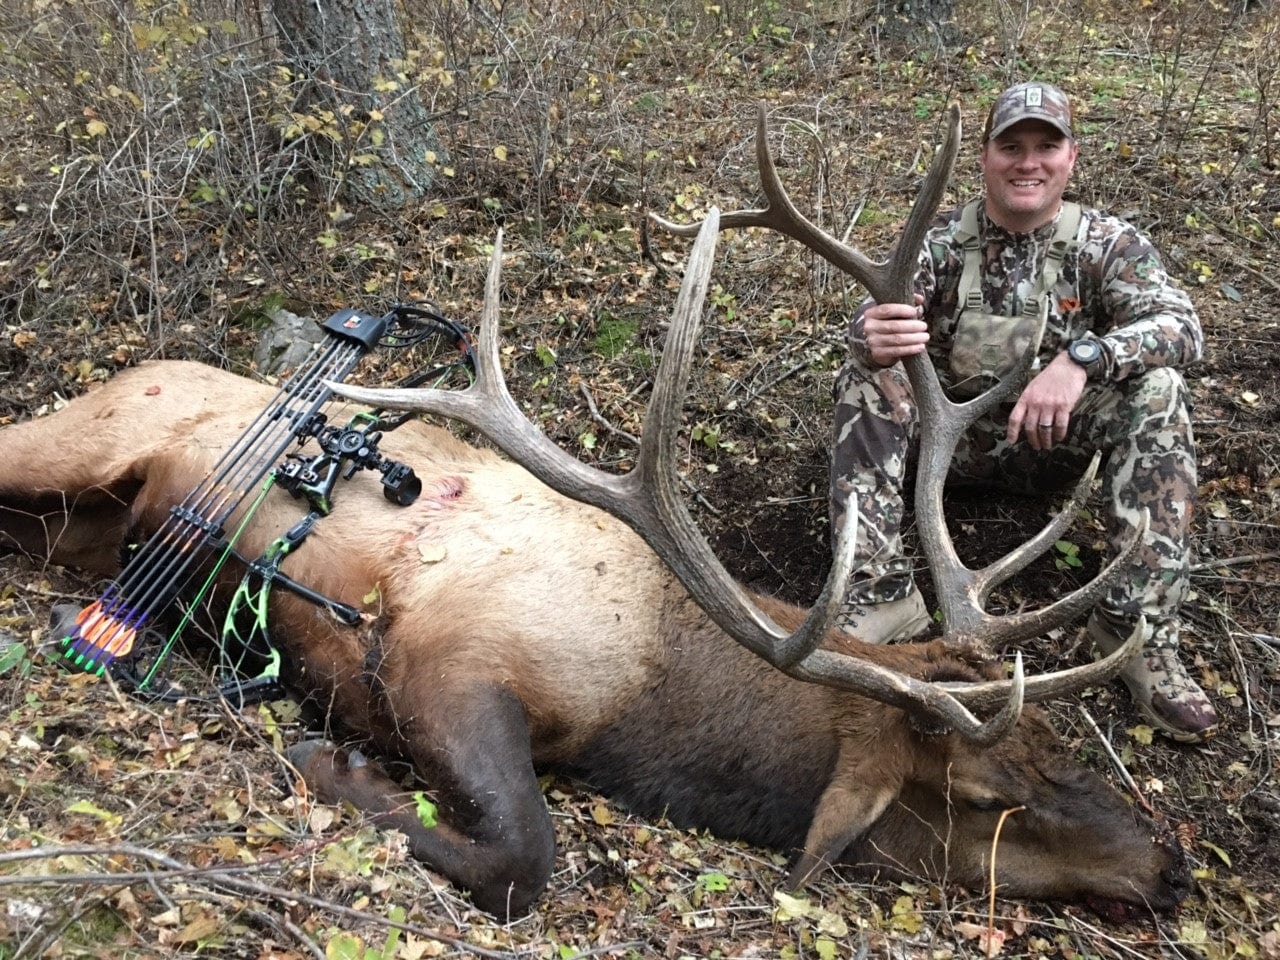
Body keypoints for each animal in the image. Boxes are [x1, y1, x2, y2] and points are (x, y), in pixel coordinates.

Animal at [0, 105, 1192, 921]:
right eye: (993, 794)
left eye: (1061, 744)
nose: (1170, 861)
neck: (656, 711)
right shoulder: (446, 661)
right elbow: (524, 857)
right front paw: (327, 767)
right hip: (80, 435)